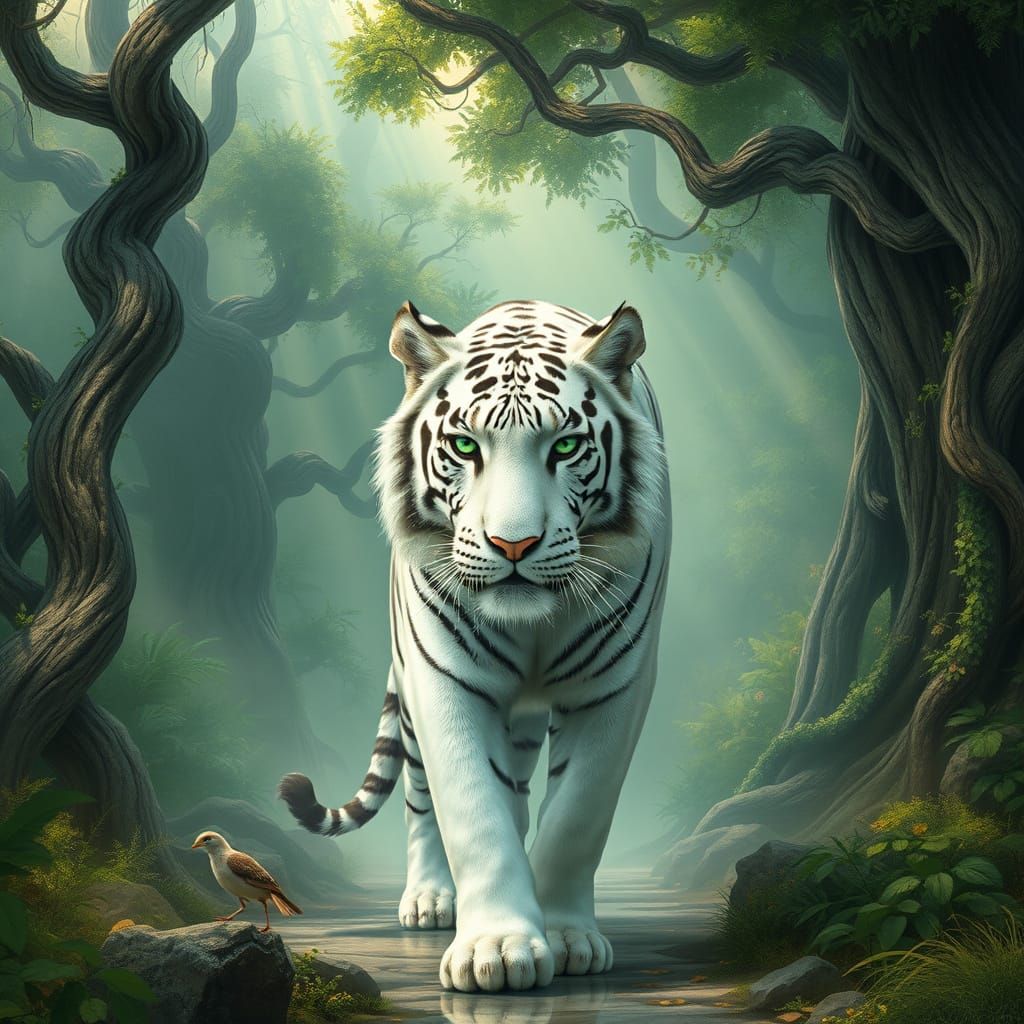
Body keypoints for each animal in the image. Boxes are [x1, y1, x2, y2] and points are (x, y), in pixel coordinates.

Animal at [279, 298, 670, 993]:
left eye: (565, 445)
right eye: (465, 445)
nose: (512, 544)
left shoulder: (615, 686)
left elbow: (578, 815)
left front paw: (566, 937)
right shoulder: (445, 677)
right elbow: (472, 811)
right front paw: (499, 950)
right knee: (420, 797)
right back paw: (432, 900)